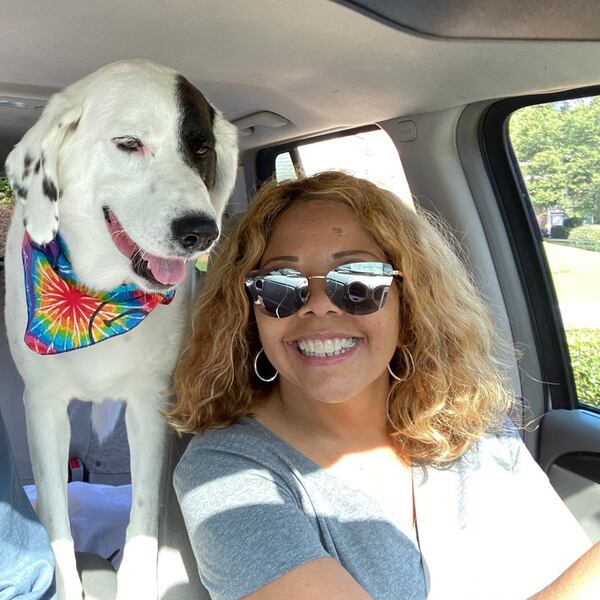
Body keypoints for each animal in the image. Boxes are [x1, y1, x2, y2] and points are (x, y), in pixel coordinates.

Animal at [4, 62, 239, 600]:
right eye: (129, 143)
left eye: (202, 150)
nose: (202, 231)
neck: (96, 298)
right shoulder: (42, 407)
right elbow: (57, 523)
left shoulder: (151, 403)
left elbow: (145, 515)